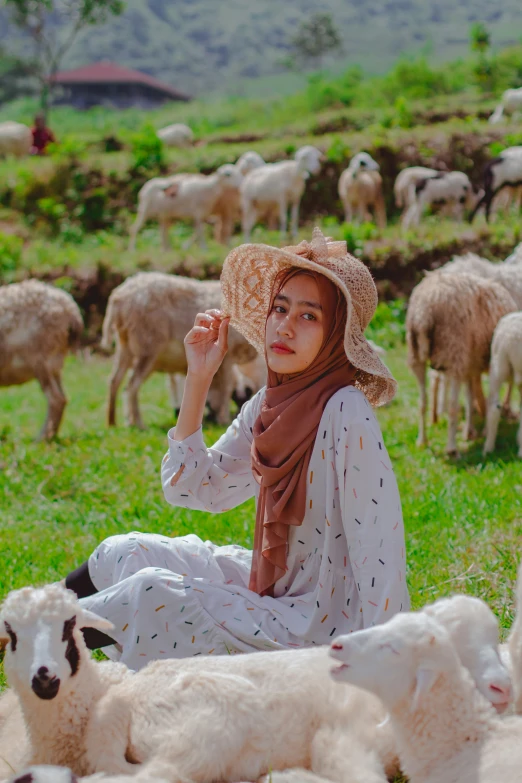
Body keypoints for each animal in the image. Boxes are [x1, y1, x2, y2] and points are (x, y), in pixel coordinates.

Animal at [0, 282, 83, 440]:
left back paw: (41, 439)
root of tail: (71, 311)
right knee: (62, 398)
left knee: (56, 399)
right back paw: (50, 435)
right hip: (54, 362)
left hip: (42, 358)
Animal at [99, 272, 256, 428]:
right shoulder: (228, 357)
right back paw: (139, 424)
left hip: (125, 346)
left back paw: (112, 422)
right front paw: (223, 418)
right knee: (131, 386)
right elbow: (226, 387)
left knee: (114, 381)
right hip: (147, 344)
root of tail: (118, 299)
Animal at [404, 270, 512, 454]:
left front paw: (470, 431)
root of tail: (423, 312)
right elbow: (472, 398)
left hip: (417, 355)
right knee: (453, 406)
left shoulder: (470, 365)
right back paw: (452, 448)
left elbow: (469, 397)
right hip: (453, 353)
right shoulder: (470, 365)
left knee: (422, 401)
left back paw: (422, 441)